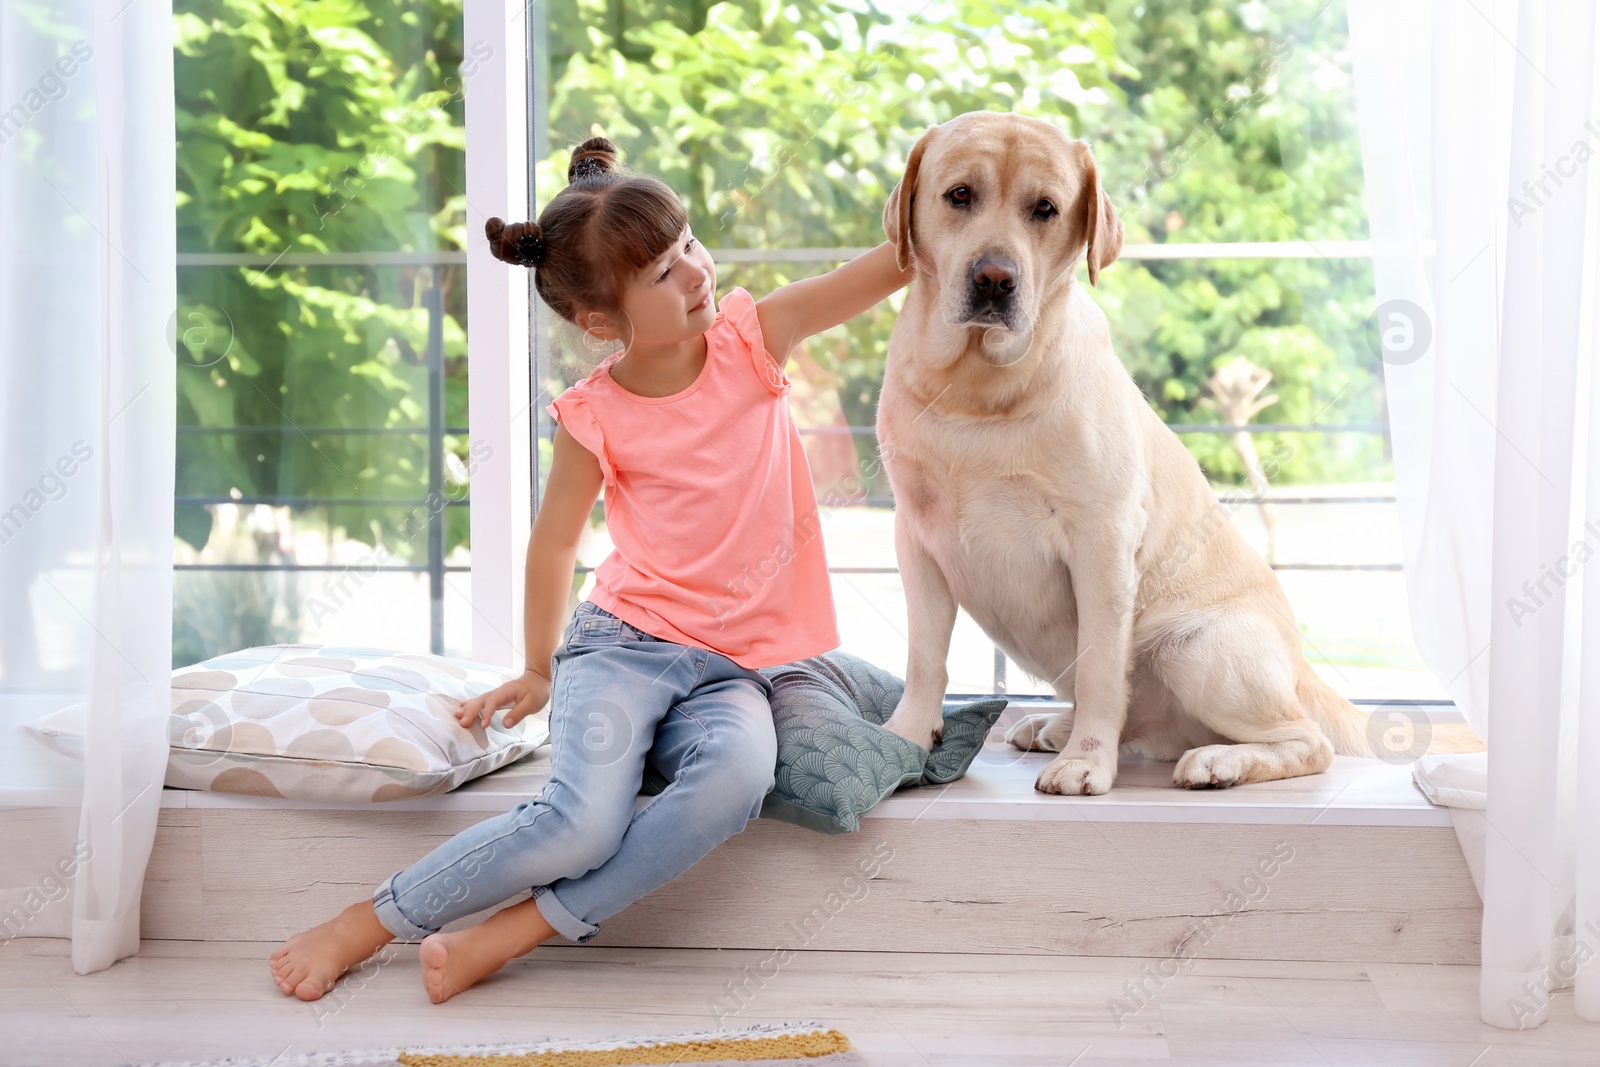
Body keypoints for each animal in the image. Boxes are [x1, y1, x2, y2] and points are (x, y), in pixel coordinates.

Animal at [870, 112, 1478, 796]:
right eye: (959, 196)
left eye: (1045, 208)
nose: (995, 278)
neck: (976, 393)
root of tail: (1300, 666)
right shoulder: (916, 538)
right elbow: (925, 659)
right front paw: (906, 737)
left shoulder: (1102, 541)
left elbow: (1101, 669)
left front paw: (1086, 762)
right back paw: (1058, 727)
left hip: (1194, 646)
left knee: (1306, 742)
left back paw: (1216, 761)